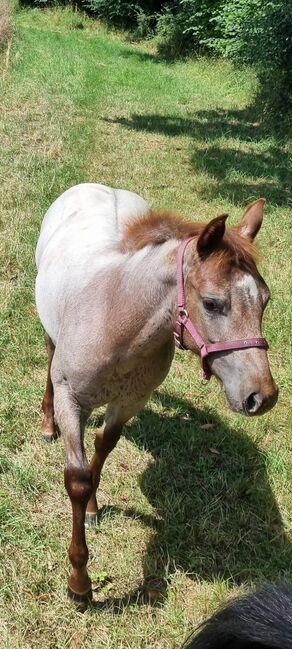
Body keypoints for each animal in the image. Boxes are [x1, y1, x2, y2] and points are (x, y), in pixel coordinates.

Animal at [34, 181, 278, 604]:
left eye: (265, 300)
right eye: (212, 303)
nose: (261, 396)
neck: (115, 317)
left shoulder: (129, 403)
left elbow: (102, 450)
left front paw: (94, 508)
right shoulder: (72, 401)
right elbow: (78, 480)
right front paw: (79, 584)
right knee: (49, 358)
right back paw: (48, 425)